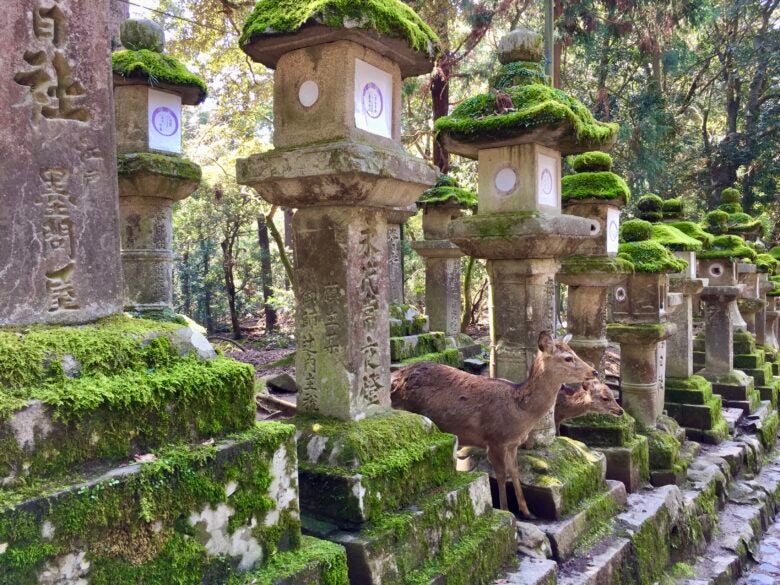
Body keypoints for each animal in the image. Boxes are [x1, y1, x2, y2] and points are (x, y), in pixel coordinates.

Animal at [390, 330, 596, 516]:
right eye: (568, 358)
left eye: (574, 352)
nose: (593, 371)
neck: (520, 414)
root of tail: (395, 377)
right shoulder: (494, 439)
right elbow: (501, 475)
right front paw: (505, 510)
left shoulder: (512, 444)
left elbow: (515, 472)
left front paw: (527, 512)